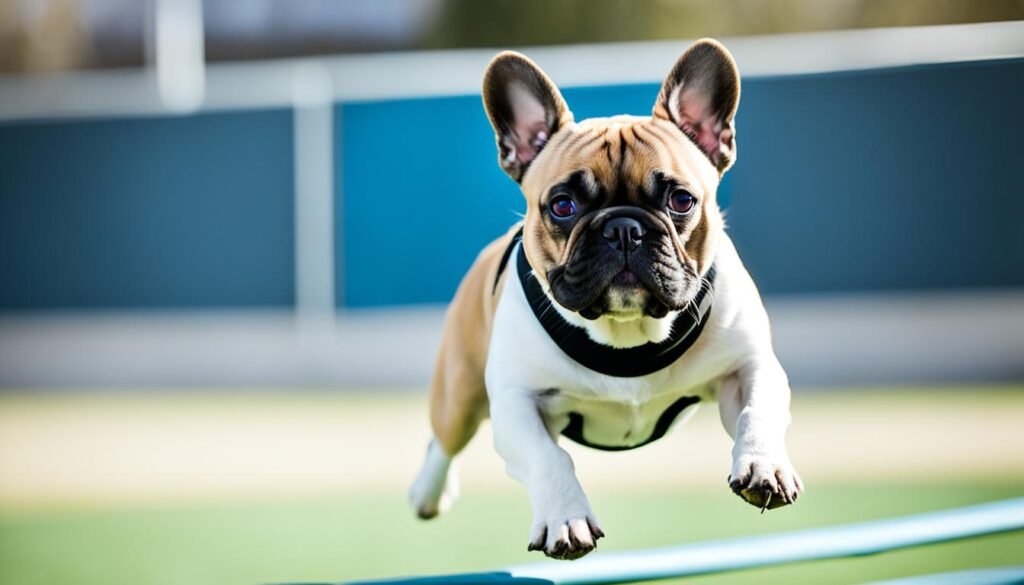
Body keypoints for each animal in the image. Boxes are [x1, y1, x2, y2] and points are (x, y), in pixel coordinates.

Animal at [407, 38, 798, 561]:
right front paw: (564, 519)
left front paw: (764, 466)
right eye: (562, 206)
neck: (626, 332)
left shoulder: (749, 369)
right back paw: (428, 494)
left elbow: (759, 411)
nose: (623, 228)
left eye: (681, 201)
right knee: (444, 440)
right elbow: (550, 458)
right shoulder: (516, 402)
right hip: (460, 393)